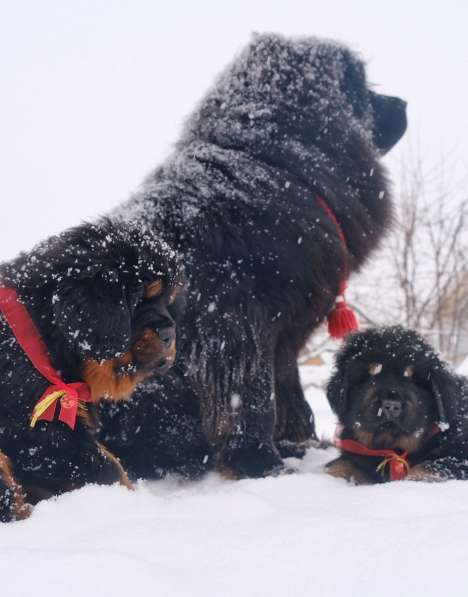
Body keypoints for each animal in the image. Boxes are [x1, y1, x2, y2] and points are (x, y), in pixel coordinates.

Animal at [0, 220, 185, 520]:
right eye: (138, 300)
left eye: (168, 301)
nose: (170, 333)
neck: (45, 334)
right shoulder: (34, 429)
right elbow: (108, 467)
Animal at [109, 32, 406, 480]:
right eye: (365, 90)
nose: (403, 104)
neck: (276, 167)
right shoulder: (235, 326)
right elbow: (251, 401)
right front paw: (262, 463)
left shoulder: (284, 334)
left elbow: (288, 390)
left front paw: (299, 444)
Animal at [328, 324, 468, 482]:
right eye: (372, 374)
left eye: (411, 378)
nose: (391, 405)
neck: (393, 449)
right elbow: (340, 465)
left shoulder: (459, 457)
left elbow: (428, 467)